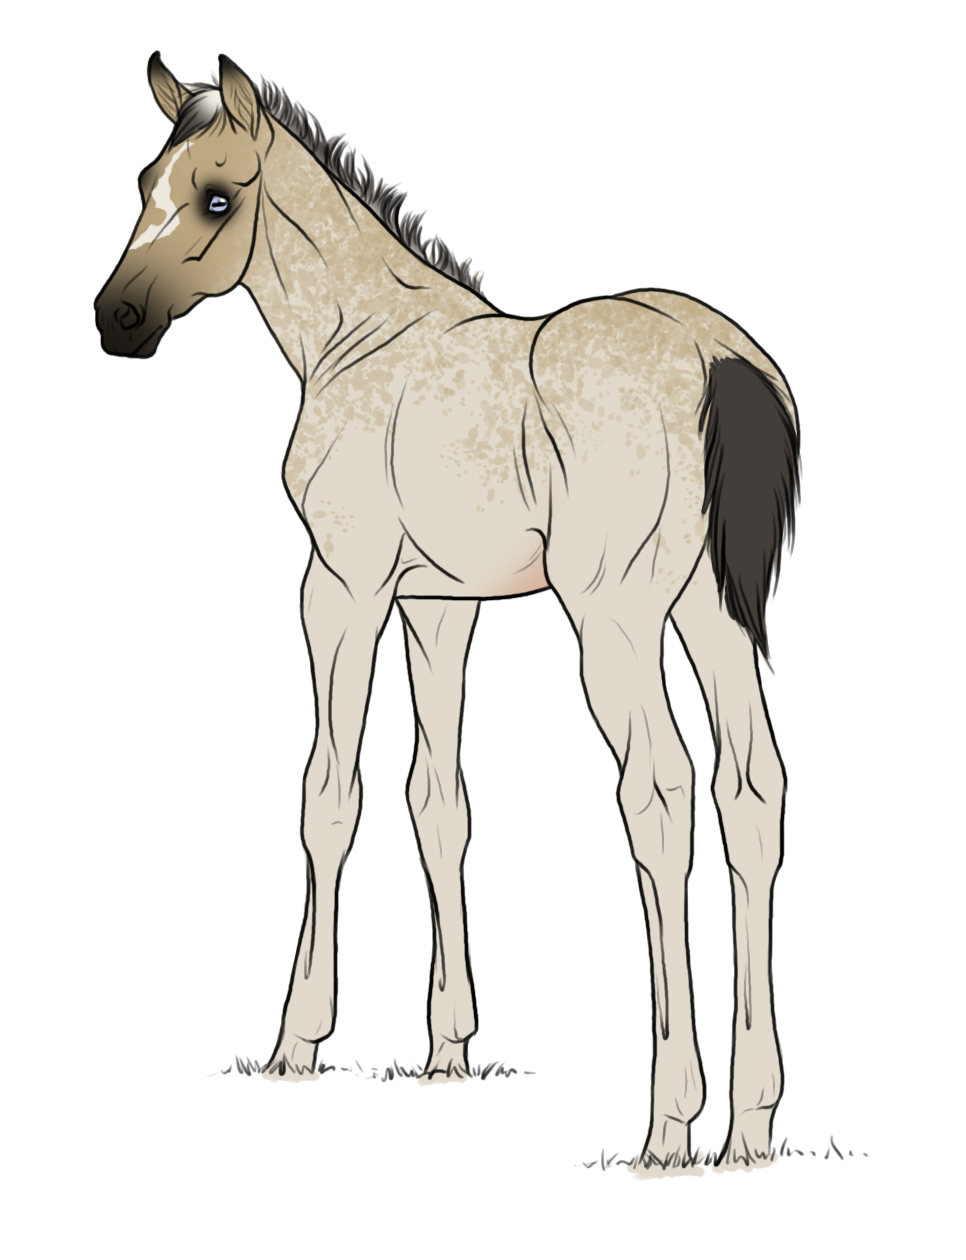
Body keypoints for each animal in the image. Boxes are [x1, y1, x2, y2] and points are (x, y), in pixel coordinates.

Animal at [94, 55, 796, 1173]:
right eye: (144, 192)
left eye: (216, 197)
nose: (117, 322)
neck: (365, 339)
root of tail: (710, 351)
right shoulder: (437, 607)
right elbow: (438, 805)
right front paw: (448, 1050)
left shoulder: (343, 590)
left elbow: (330, 797)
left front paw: (296, 1043)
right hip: (706, 615)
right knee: (750, 791)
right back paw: (752, 1129)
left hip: (617, 622)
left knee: (660, 796)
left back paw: (669, 1125)